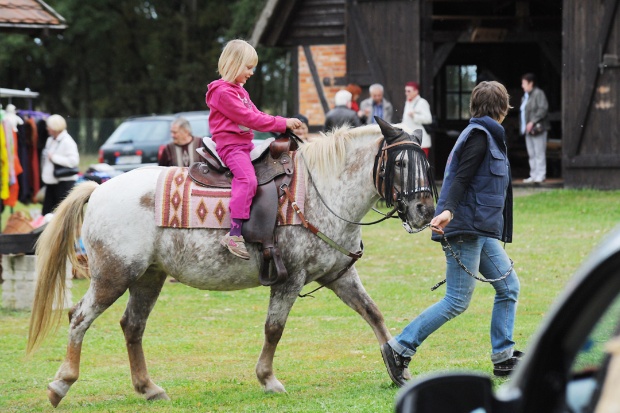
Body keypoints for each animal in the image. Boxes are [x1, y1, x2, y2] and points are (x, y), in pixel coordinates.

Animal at [25, 116, 436, 406]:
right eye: (400, 164)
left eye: (427, 164)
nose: (424, 210)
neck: (321, 192)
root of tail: (99, 188)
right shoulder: (290, 278)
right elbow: (274, 329)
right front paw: (268, 378)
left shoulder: (338, 274)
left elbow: (373, 313)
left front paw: (397, 367)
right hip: (113, 276)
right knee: (79, 317)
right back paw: (61, 384)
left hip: (148, 277)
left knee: (132, 326)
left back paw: (148, 388)